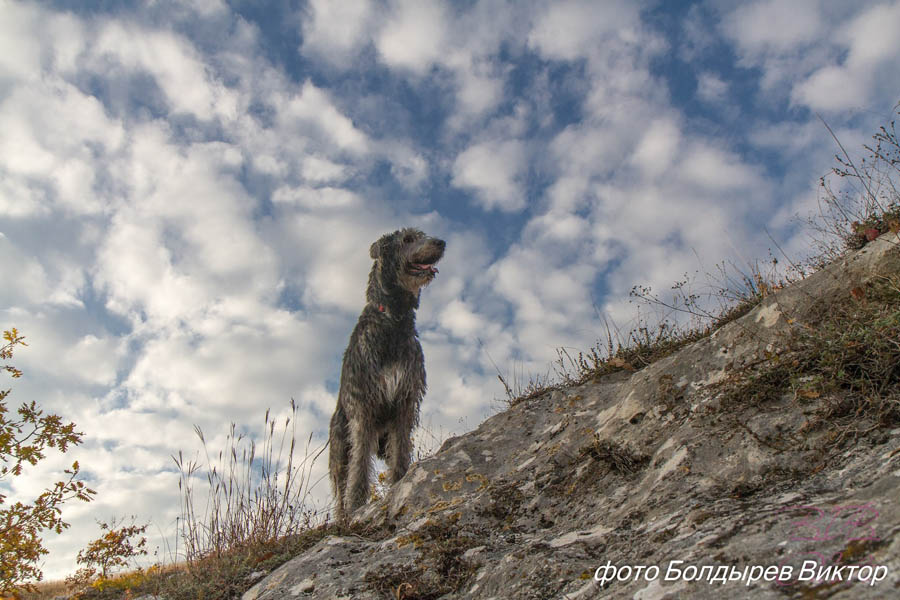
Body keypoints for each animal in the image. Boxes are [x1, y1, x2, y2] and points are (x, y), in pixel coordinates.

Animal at [328, 227, 444, 524]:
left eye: (423, 234)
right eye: (407, 239)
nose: (441, 242)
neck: (393, 320)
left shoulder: (405, 400)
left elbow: (401, 450)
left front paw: (400, 483)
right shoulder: (363, 408)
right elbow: (359, 466)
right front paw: (357, 505)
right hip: (339, 445)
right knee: (341, 481)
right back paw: (342, 514)